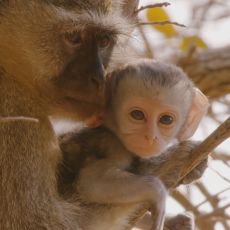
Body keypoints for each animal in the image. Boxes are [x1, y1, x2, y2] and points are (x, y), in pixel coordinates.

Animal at [59, 60, 208, 230]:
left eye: (166, 119)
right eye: (137, 115)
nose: (150, 137)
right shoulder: (113, 145)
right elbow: (90, 182)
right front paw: (157, 191)